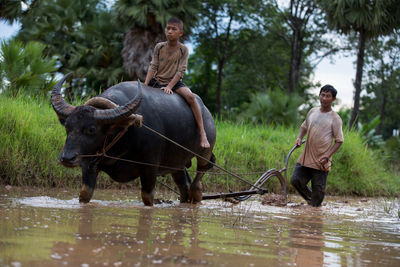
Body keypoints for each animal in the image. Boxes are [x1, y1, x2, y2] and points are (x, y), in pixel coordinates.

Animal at [52, 74, 217, 206]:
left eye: (92, 129)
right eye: (67, 126)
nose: (66, 158)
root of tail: (207, 112)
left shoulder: (150, 168)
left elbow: (147, 198)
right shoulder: (89, 164)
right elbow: (84, 194)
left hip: (205, 151)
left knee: (200, 174)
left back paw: (197, 193)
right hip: (177, 164)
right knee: (184, 186)